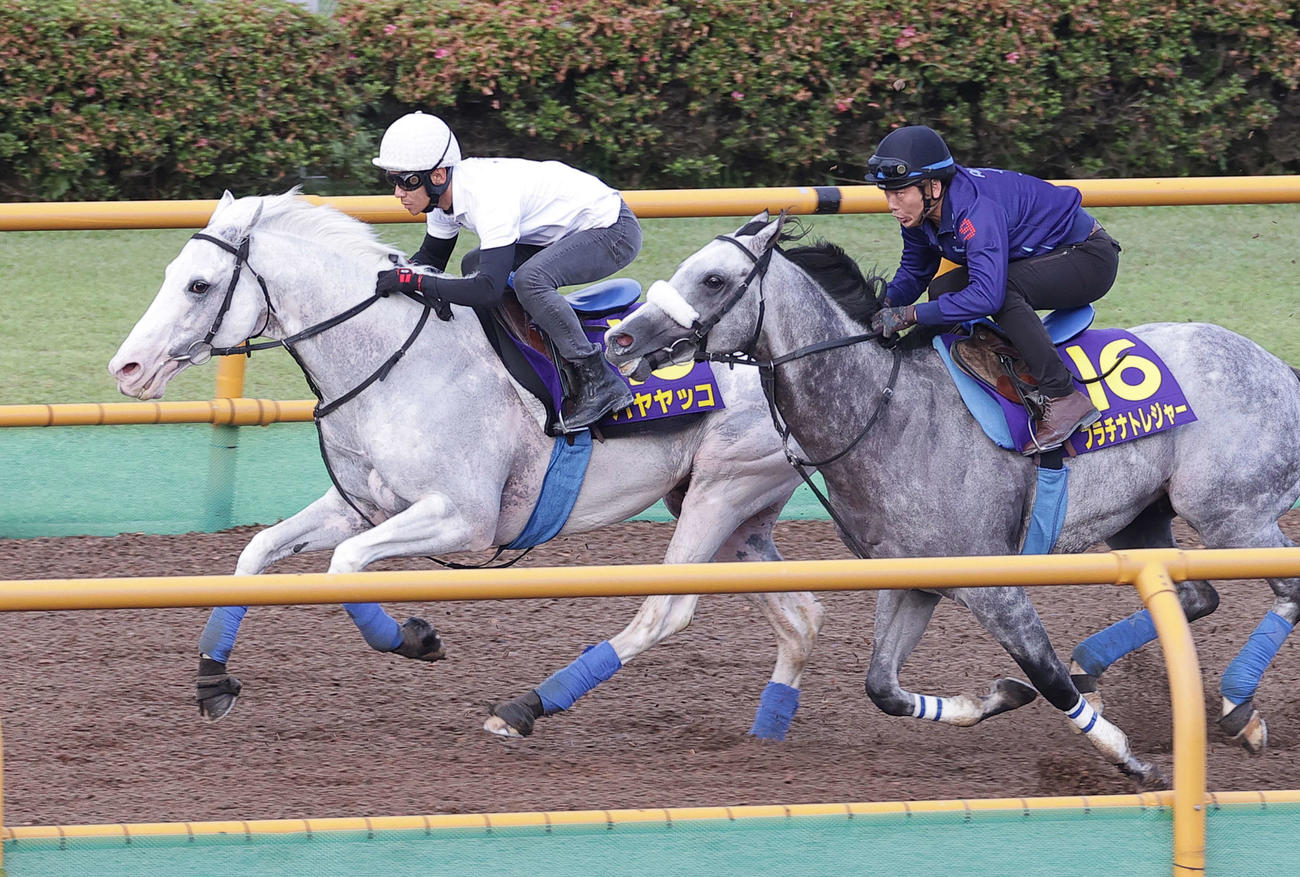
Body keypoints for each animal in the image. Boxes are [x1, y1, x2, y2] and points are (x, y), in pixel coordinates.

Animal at [108, 191, 824, 741]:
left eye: (199, 284)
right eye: (173, 272)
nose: (127, 368)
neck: (396, 362)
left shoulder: (465, 519)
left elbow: (344, 567)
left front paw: (414, 638)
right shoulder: (361, 504)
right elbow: (256, 552)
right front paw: (212, 679)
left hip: (720, 493)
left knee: (666, 613)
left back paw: (524, 709)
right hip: (732, 513)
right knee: (802, 616)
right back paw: (769, 727)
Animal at [603, 212, 1300, 786]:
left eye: (713, 279)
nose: (621, 339)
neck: (888, 412)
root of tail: (1280, 368)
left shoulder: (996, 588)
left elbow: (1046, 677)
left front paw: (1131, 759)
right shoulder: (913, 580)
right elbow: (882, 686)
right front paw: (996, 698)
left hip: (1235, 516)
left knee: (1283, 591)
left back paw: (1235, 707)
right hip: (1142, 517)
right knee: (1195, 595)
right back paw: (1122, 674)